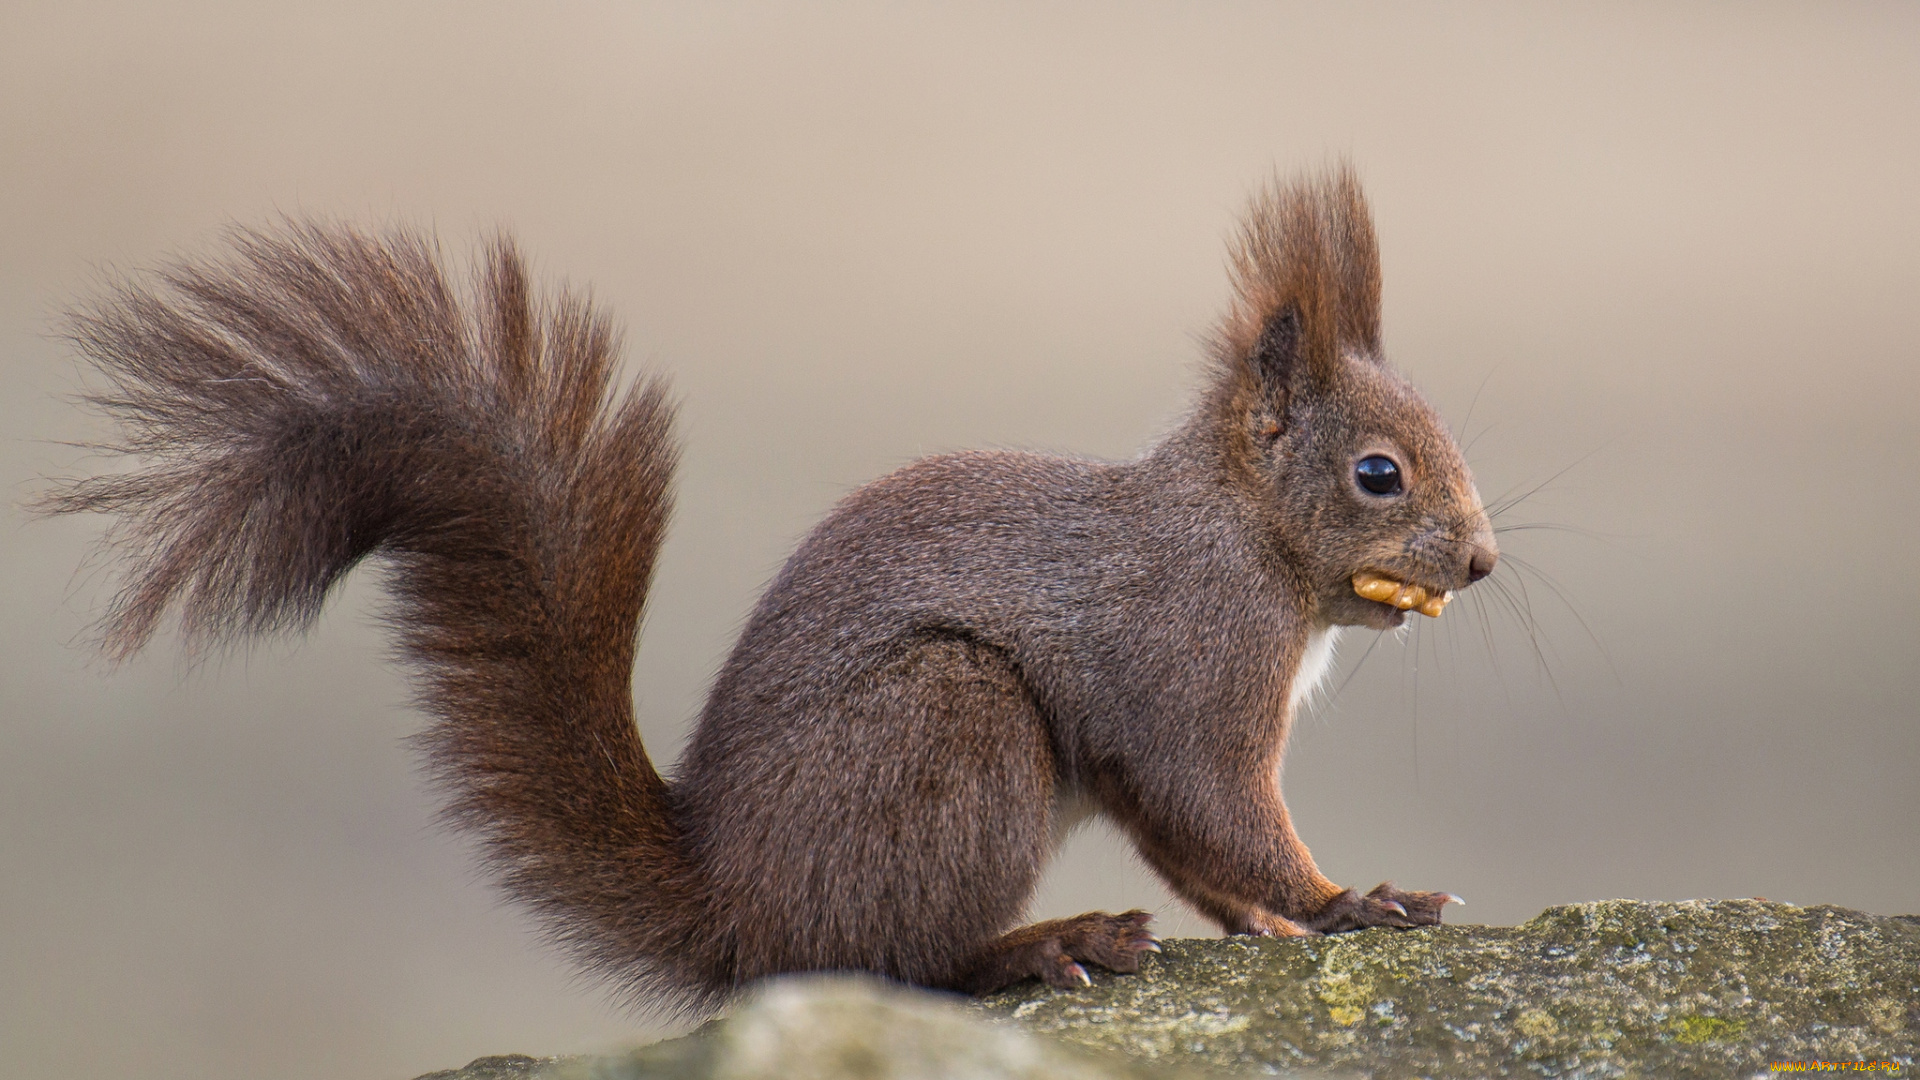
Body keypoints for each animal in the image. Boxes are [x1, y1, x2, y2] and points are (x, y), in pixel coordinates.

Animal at [33, 166, 1497, 1006]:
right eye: (1377, 474)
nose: (1481, 562)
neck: (1246, 534)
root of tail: (734, 907)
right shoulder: (1188, 664)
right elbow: (1215, 810)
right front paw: (1346, 901)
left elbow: (1195, 849)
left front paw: (1278, 920)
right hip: (951, 726)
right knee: (884, 960)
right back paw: (1037, 944)